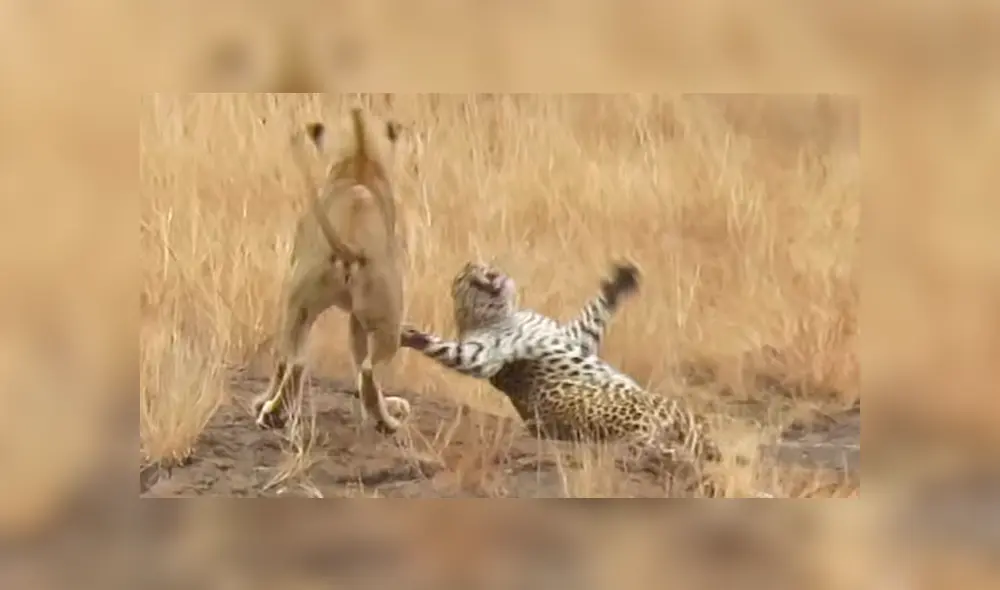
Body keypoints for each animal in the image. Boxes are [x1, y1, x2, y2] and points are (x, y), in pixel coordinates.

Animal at [252, 106, 411, 435]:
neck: (360, 159)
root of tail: (350, 240)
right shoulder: (358, 320)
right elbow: (359, 354)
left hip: (298, 305)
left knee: (292, 360)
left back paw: (273, 413)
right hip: (387, 320)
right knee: (367, 371)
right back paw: (387, 419)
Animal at [399, 259, 725, 493]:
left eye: (483, 265)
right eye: (471, 279)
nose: (490, 275)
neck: (504, 313)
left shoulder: (577, 335)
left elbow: (594, 313)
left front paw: (621, 280)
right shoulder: (486, 353)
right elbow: (461, 354)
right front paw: (412, 336)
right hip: (654, 411)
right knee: (673, 446)